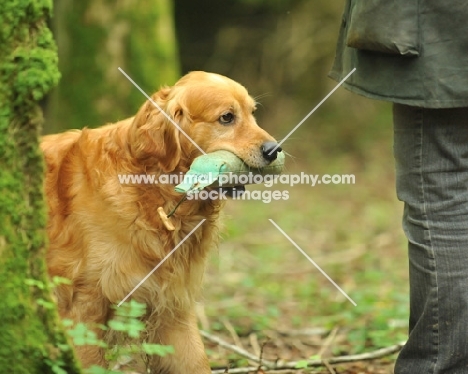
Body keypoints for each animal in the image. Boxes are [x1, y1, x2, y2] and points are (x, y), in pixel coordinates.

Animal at [41, 71, 282, 372]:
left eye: (253, 113)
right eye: (227, 117)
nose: (275, 149)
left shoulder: (172, 305)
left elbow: (195, 361)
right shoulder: (83, 304)